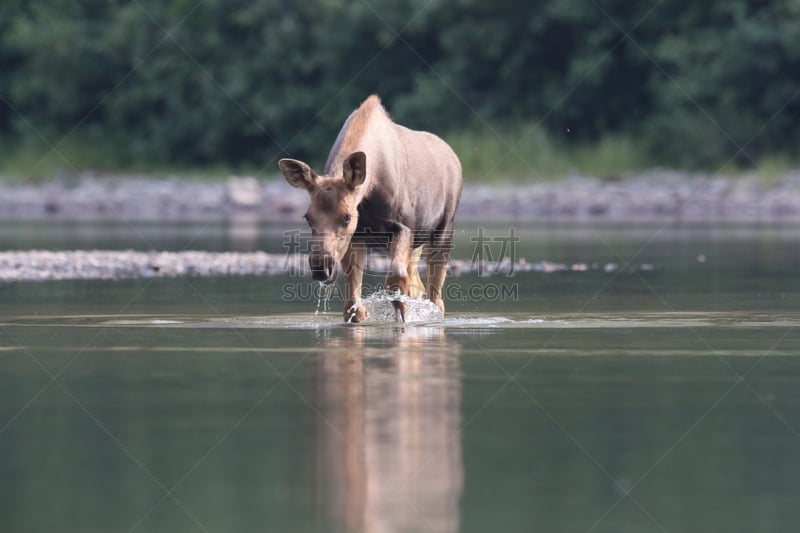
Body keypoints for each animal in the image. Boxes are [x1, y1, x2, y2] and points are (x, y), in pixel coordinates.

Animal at [278, 94, 462, 322]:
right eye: (307, 217)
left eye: (347, 217)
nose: (322, 268)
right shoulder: (357, 236)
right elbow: (352, 304)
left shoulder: (403, 227)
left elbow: (396, 280)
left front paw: (401, 318)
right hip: (417, 243)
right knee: (417, 285)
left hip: (443, 230)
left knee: (436, 297)